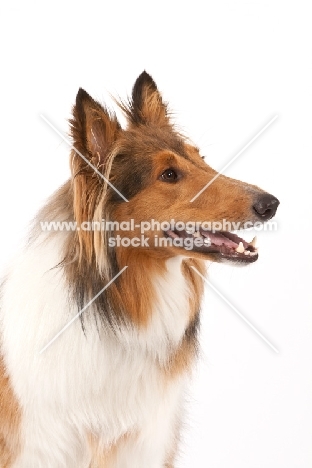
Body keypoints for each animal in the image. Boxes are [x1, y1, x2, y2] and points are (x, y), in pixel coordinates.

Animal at [0, 71, 278, 466]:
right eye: (169, 174)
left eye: (201, 158)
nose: (272, 204)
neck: (116, 312)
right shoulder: (40, 446)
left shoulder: (145, 444)